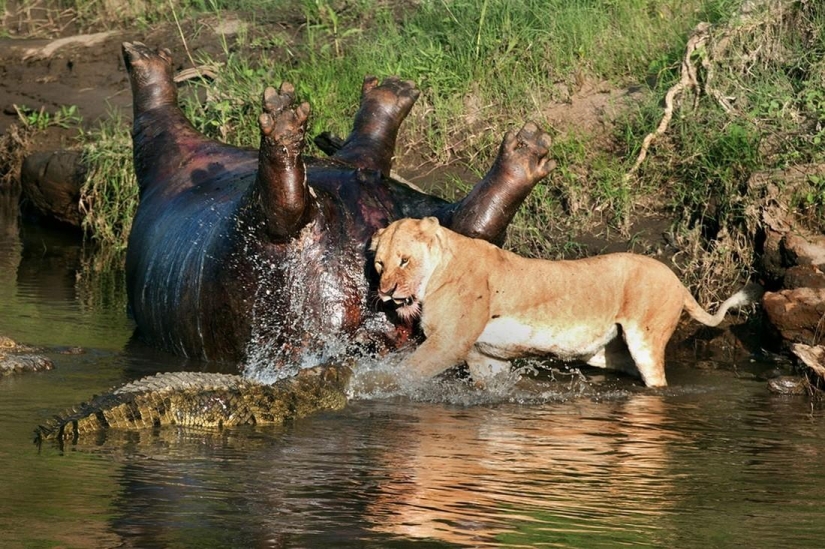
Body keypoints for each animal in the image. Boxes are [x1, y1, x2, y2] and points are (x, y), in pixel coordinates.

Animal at [370, 217, 762, 387]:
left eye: (404, 261)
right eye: (379, 264)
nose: (385, 292)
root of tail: (676, 279)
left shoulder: (449, 342)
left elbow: (405, 372)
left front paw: (370, 387)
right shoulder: (485, 357)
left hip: (645, 339)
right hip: (603, 353)